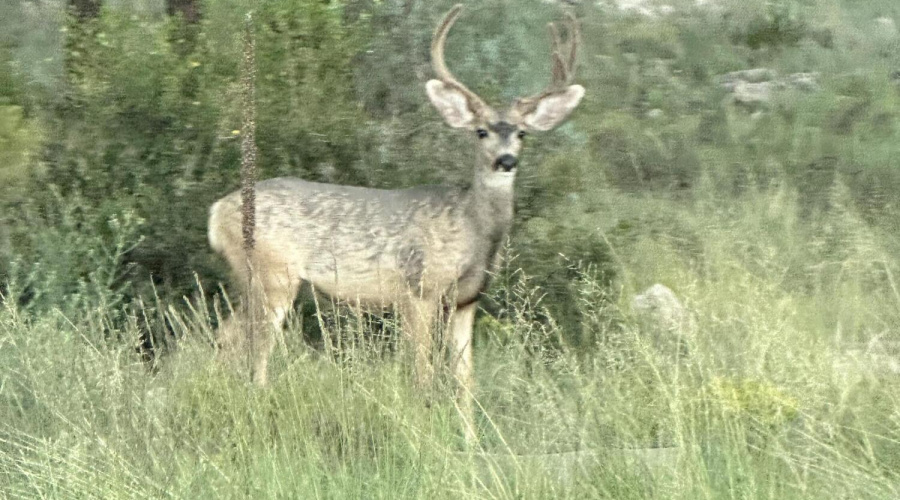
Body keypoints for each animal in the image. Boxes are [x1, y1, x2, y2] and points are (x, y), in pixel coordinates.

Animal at [210, 3, 588, 442]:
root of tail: (217, 212)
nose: (506, 160)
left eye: (523, 133)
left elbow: (464, 379)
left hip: (254, 279)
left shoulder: (465, 301)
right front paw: (426, 436)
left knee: (227, 337)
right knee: (250, 344)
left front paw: (471, 442)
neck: (470, 233)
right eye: (480, 132)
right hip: (272, 274)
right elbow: (421, 373)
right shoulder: (417, 290)